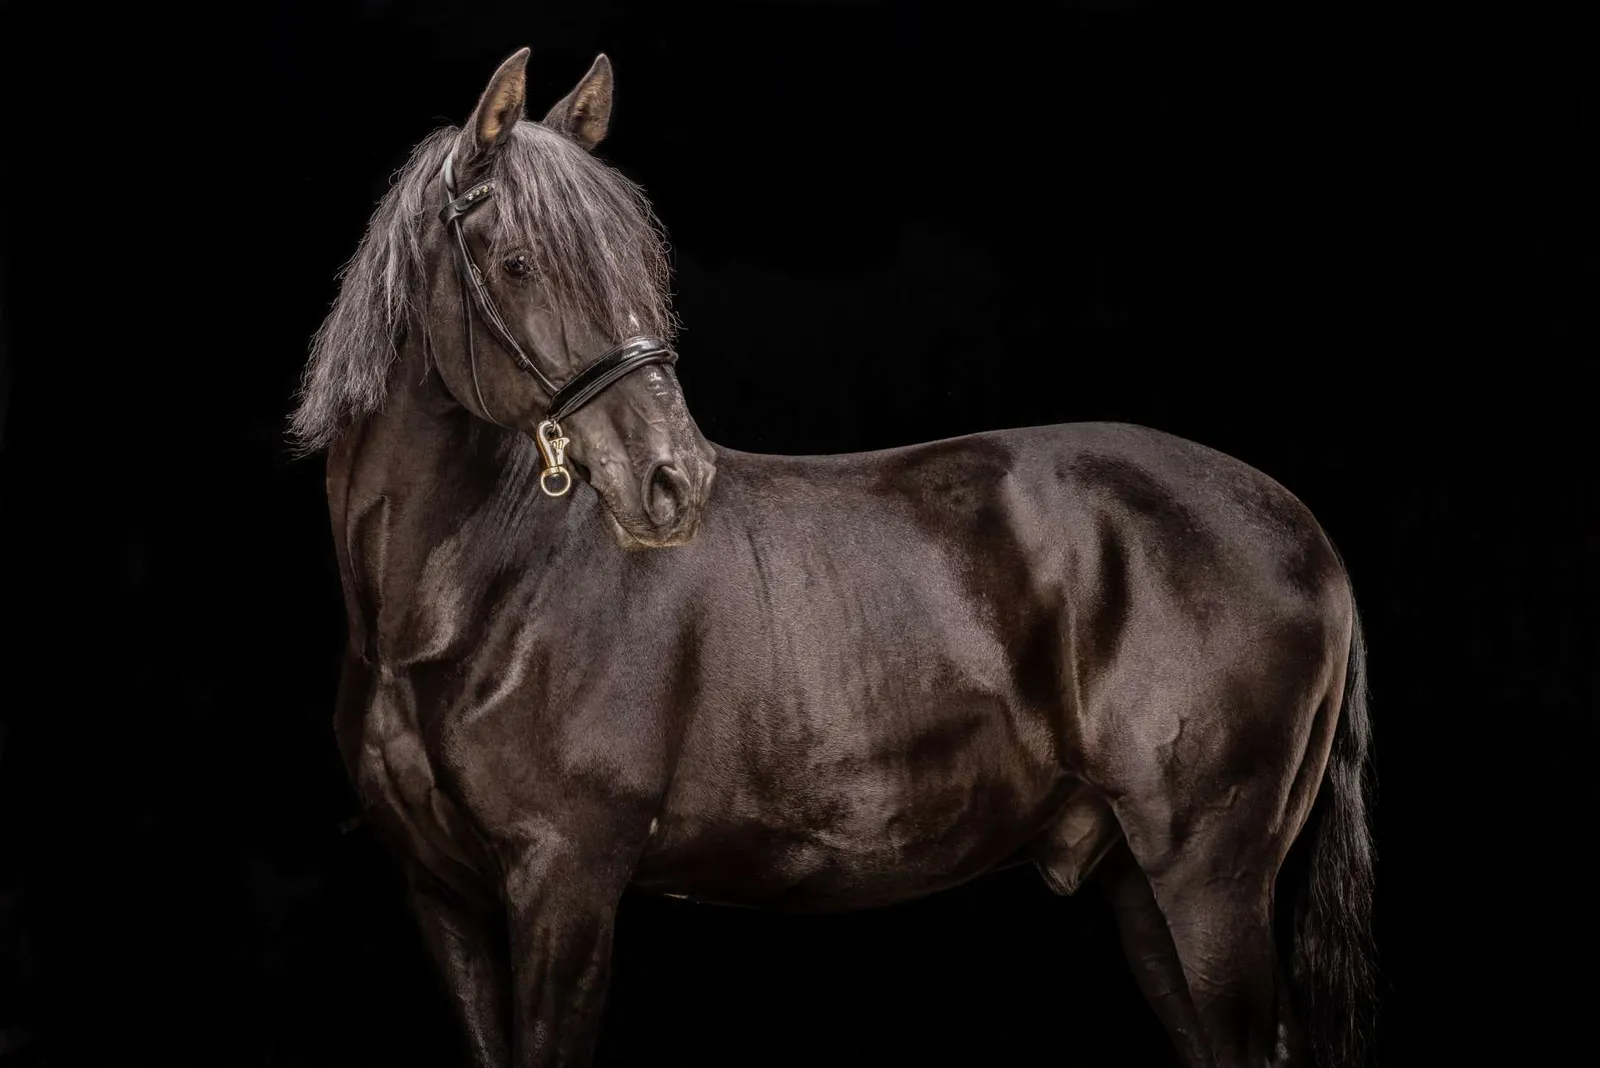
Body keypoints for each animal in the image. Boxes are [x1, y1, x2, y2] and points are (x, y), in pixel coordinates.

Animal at [291, 47, 1375, 1068]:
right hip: (1142, 887)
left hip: (1208, 880)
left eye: (643, 260)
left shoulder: (565, 882)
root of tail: (1307, 535)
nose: (674, 477)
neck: (465, 610)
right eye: (516, 263)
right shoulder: (443, 898)